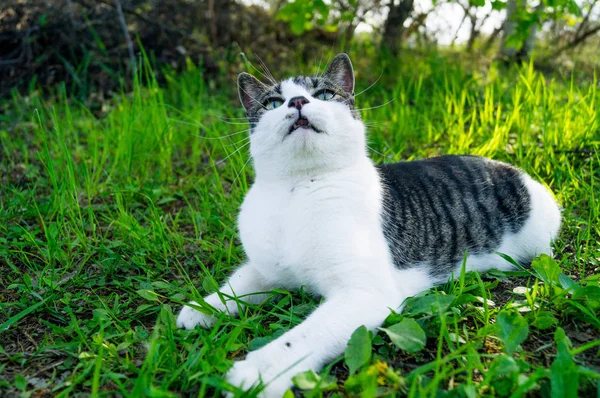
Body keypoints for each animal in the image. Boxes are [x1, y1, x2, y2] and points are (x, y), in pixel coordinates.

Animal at [176, 53, 560, 398]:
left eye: (324, 94)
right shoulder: (268, 270)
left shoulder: (365, 294)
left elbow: (300, 338)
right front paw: (202, 309)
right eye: (273, 102)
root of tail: (508, 167)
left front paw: (257, 372)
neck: (299, 188)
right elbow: (239, 283)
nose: (298, 101)